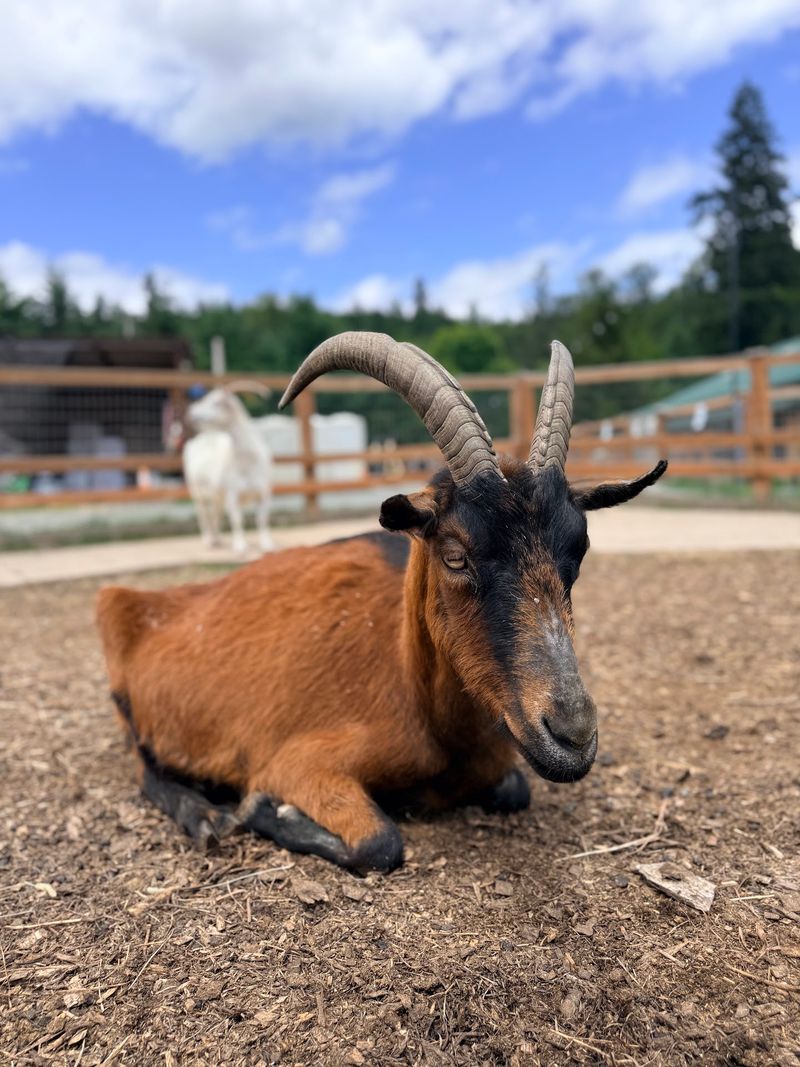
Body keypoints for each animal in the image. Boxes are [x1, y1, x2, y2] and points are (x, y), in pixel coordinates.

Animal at [183, 382, 274, 554]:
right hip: (196, 491)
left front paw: (267, 545)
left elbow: (262, 519)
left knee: (215, 514)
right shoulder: (233, 494)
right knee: (203, 515)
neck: (246, 462)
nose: (191, 412)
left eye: (216, 402)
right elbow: (237, 520)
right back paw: (208, 540)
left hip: (216, 494)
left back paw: (217, 539)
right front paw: (241, 547)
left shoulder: (263, 493)